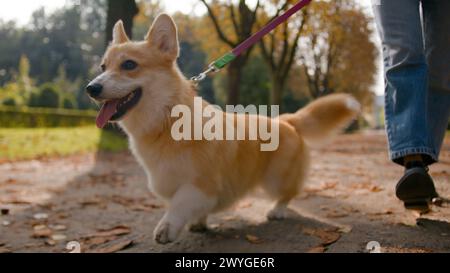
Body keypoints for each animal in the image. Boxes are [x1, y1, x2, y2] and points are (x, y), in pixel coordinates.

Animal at [87, 13, 362, 243]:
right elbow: (188, 208)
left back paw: (277, 211)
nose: (91, 88)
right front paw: (198, 223)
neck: (165, 121)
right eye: (103, 67)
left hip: (275, 178)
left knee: (289, 193)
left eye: (129, 65)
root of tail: (287, 120)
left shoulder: (201, 184)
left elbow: (178, 205)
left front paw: (167, 228)